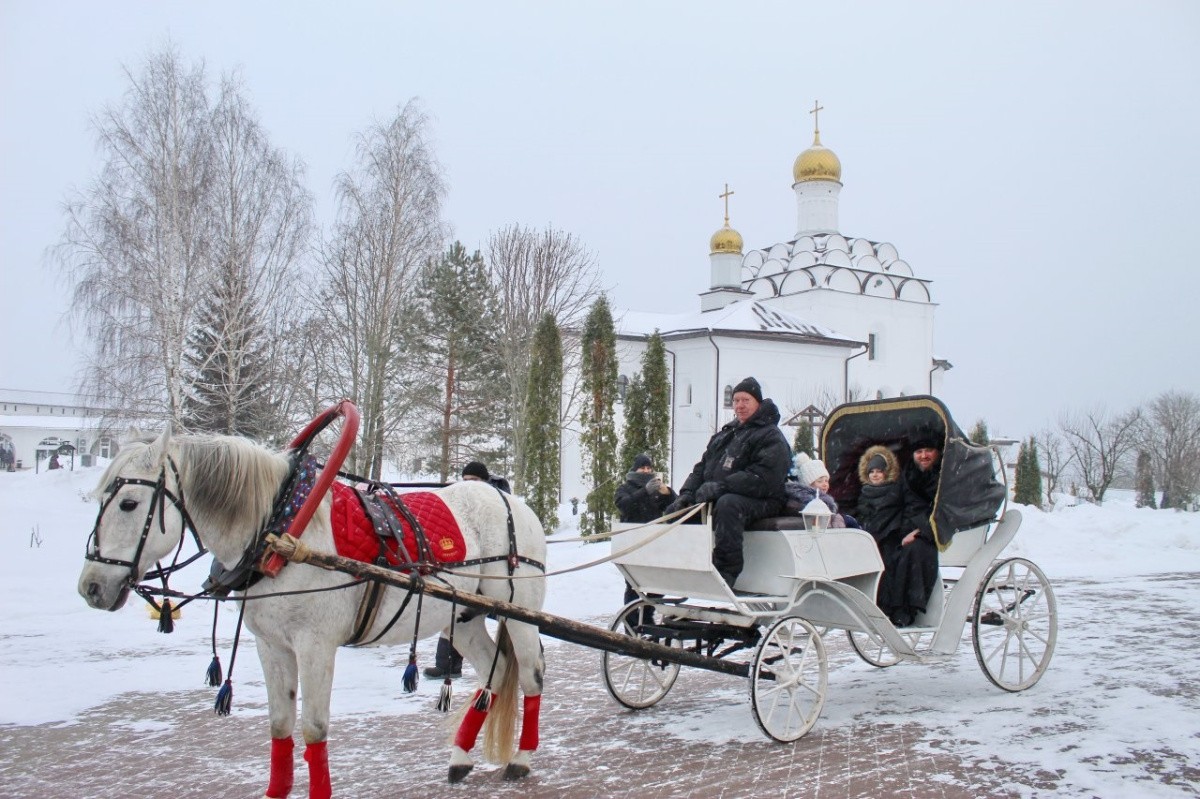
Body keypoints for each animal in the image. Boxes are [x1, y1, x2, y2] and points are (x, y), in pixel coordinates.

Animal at [76, 427, 547, 798]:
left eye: (129, 503)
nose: (90, 587)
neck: (281, 528)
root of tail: (510, 499)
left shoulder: (315, 645)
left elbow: (313, 729)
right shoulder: (271, 645)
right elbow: (280, 726)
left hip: (519, 612)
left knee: (530, 675)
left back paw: (522, 759)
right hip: (462, 618)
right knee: (494, 672)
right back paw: (459, 757)